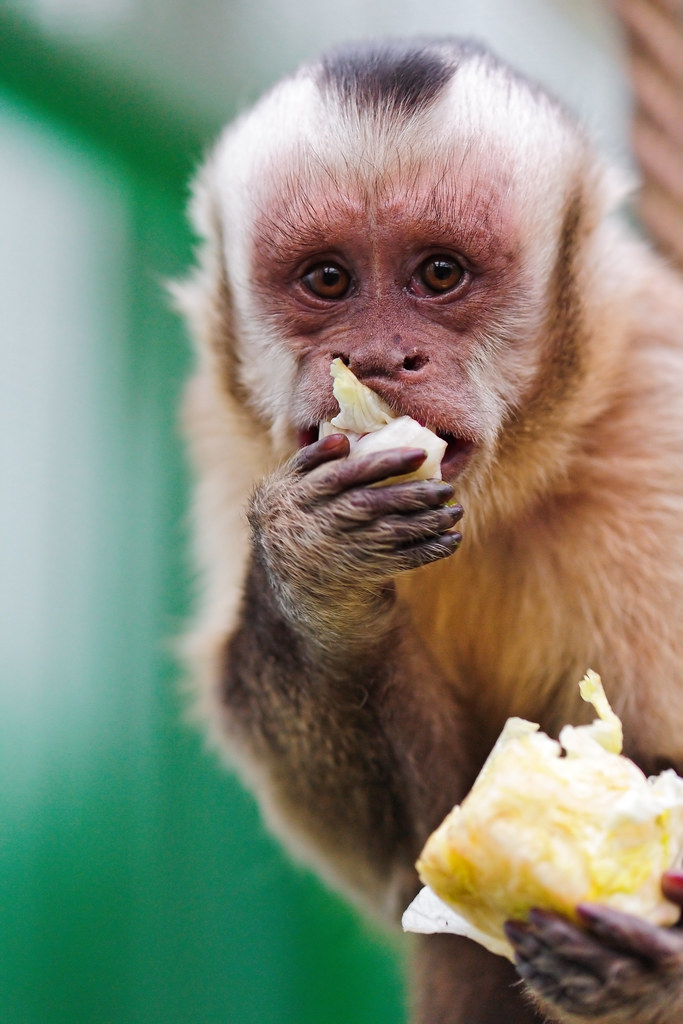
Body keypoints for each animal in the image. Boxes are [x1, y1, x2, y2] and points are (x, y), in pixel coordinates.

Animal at [176, 37, 683, 1024]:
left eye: (439, 274)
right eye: (327, 279)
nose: (377, 359)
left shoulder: (658, 423)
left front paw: (648, 959)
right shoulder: (227, 437)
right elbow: (417, 861)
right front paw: (318, 579)